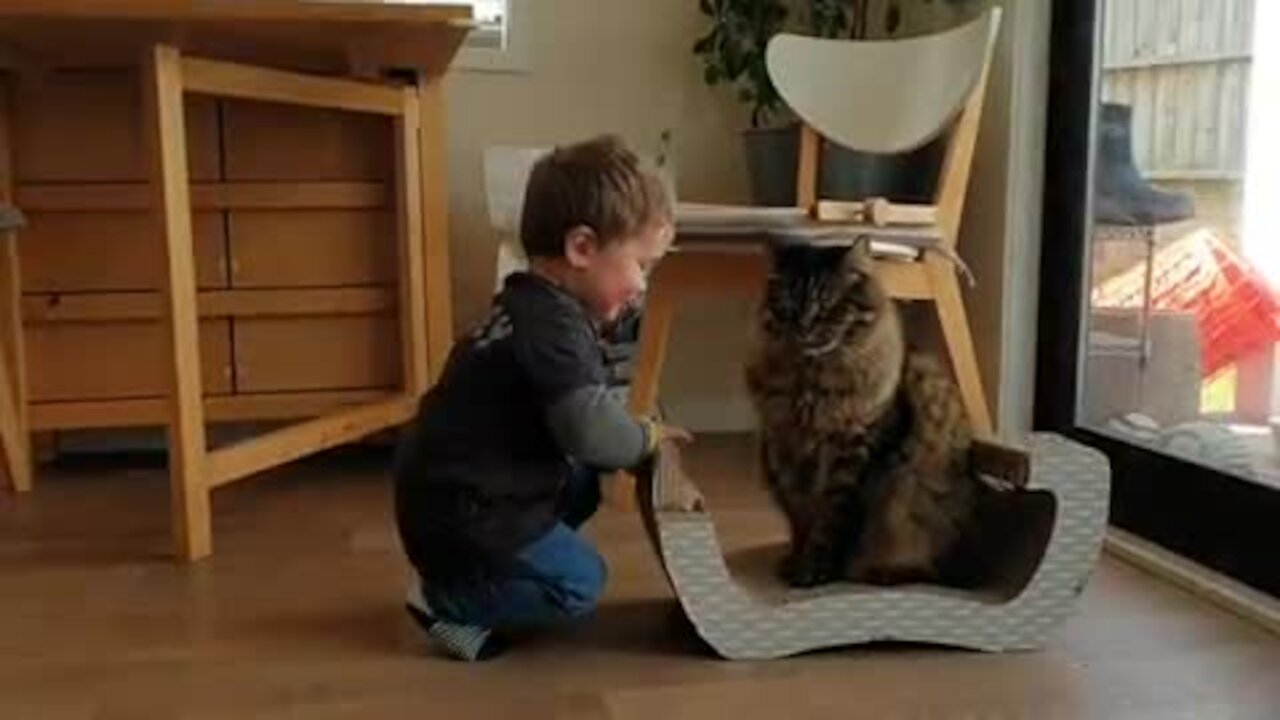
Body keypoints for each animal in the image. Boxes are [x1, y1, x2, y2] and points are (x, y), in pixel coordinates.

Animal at [747, 238, 983, 586]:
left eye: (827, 306)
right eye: (788, 305)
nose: (803, 327)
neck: (811, 384)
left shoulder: (854, 451)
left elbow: (831, 521)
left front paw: (816, 571)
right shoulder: (783, 450)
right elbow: (800, 517)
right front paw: (796, 563)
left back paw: (882, 571)